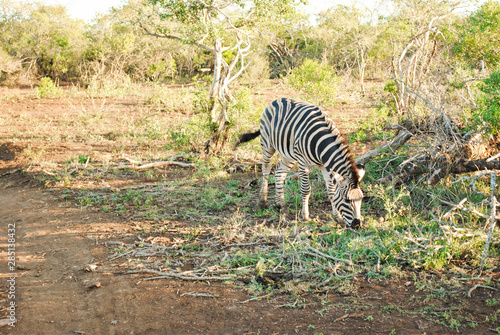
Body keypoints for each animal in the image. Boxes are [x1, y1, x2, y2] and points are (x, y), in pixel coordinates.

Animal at [236, 97, 366, 228]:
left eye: (361, 199)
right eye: (347, 200)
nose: (357, 225)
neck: (321, 145)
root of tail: (279, 99)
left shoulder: (324, 165)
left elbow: (331, 191)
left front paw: (337, 217)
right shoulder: (303, 162)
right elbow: (306, 189)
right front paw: (306, 216)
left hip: (289, 154)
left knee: (279, 172)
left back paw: (281, 205)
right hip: (267, 144)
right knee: (266, 170)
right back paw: (262, 202)